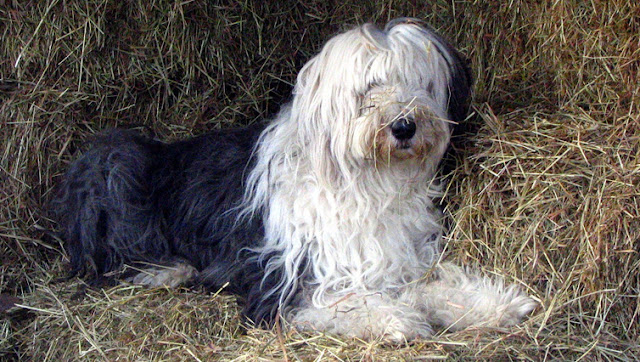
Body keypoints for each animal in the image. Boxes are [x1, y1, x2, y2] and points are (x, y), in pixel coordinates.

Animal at [53, 18, 536, 340]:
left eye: (419, 84)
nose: (404, 126)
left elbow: (432, 287)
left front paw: (497, 303)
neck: (368, 183)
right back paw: (167, 270)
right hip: (115, 163)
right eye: (368, 88)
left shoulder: (396, 260)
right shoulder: (281, 282)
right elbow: (335, 301)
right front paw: (394, 318)